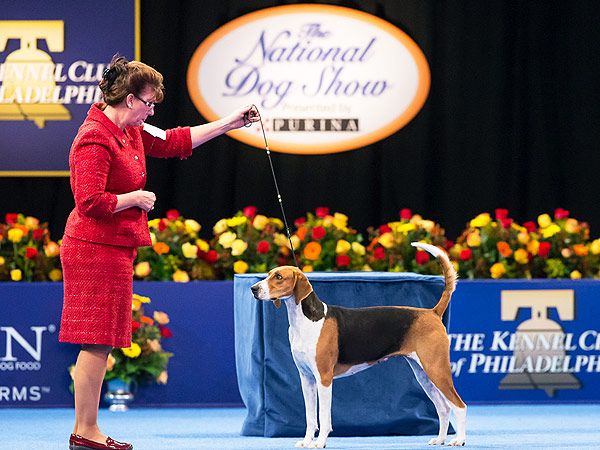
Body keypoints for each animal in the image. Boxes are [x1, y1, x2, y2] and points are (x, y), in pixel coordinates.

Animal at [251, 244, 466, 448]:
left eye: (279, 277)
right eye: (269, 274)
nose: (253, 288)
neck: (306, 319)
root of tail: (432, 312)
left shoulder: (324, 379)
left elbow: (323, 417)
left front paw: (320, 443)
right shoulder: (306, 379)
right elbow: (310, 417)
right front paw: (306, 441)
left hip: (437, 370)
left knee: (459, 406)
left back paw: (459, 440)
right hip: (424, 375)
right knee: (444, 408)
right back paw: (440, 439)